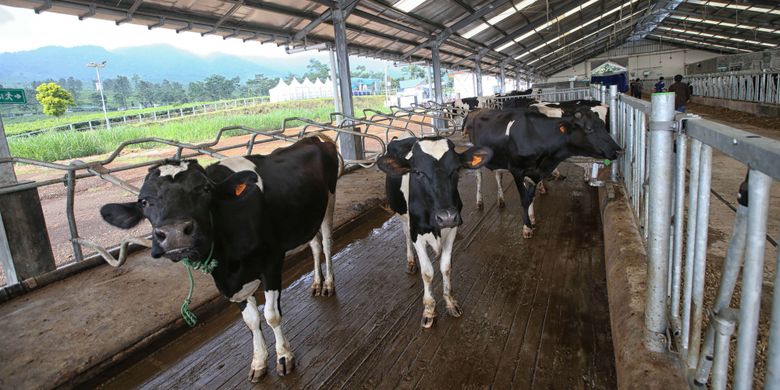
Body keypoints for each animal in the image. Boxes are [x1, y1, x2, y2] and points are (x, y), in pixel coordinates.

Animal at [98, 136, 342, 382]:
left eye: (205, 189)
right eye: (144, 202)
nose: (175, 234)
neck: (228, 260)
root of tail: (315, 138)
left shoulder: (272, 261)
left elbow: (271, 315)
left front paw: (284, 357)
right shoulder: (231, 281)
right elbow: (251, 320)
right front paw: (259, 362)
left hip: (329, 203)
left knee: (327, 243)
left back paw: (329, 284)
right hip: (308, 218)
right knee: (315, 246)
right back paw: (317, 283)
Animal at [374, 136, 490, 328]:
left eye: (456, 169)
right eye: (418, 172)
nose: (447, 216)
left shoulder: (452, 229)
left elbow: (446, 267)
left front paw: (450, 302)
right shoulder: (417, 234)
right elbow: (427, 272)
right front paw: (429, 310)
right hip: (402, 215)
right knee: (405, 235)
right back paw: (411, 262)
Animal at [464, 107, 620, 238]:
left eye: (603, 125)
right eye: (589, 129)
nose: (619, 150)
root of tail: (477, 110)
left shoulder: (537, 172)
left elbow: (530, 197)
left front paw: (532, 220)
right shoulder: (517, 170)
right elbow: (524, 199)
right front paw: (526, 227)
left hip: (498, 157)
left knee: (498, 175)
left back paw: (500, 199)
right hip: (478, 155)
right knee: (479, 177)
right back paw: (479, 201)